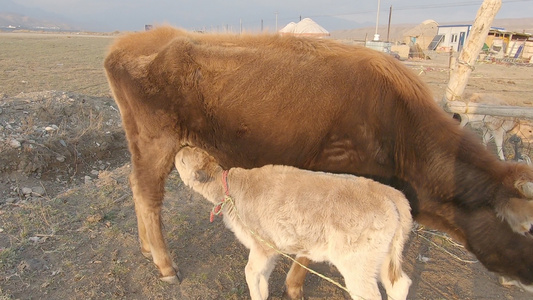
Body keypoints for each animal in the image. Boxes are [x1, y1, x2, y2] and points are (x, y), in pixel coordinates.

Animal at [175, 147, 412, 300]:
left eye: (183, 160)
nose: (179, 149)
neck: (232, 188)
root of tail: (390, 193)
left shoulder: (261, 244)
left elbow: (251, 273)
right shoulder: (271, 248)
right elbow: (263, 278)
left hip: (357, 263)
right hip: (381, 257)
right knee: (399, 286)